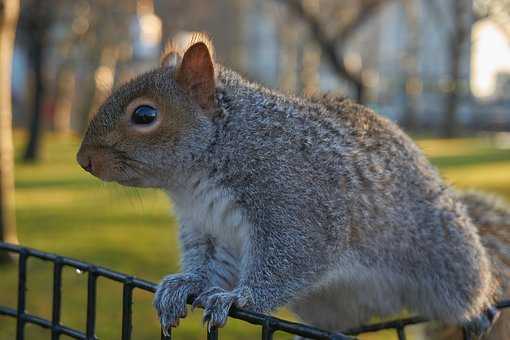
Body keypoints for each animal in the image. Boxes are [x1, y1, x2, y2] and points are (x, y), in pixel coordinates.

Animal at [77, 32, 504, 338]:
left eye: (145, 115)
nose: (83, 159)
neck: (195, 179)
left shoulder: (295, 202)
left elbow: (290, 259)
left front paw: (239, 297)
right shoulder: (209, 228)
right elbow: (210, 266)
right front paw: (182, 285)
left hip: (451, 262)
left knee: (469, 290)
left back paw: (480, 313)